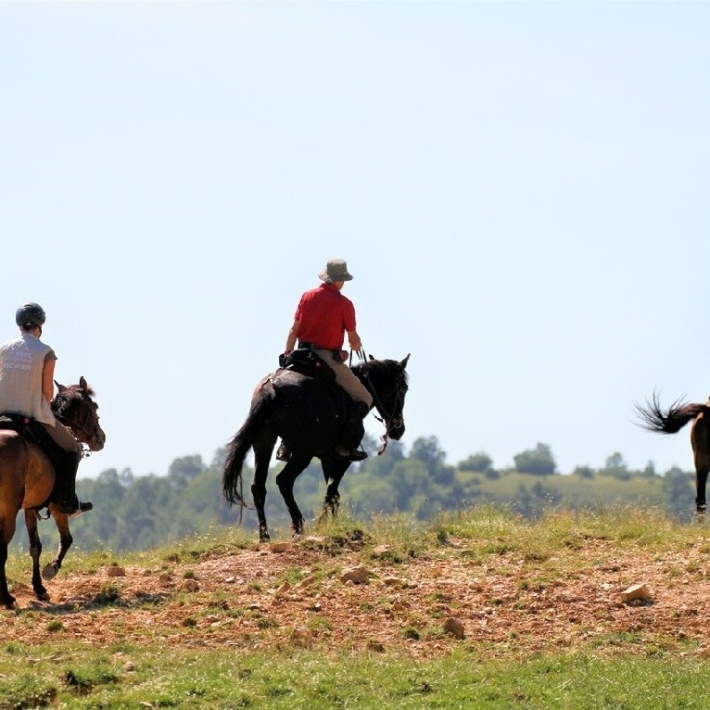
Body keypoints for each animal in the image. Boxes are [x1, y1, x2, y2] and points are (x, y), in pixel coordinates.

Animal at [0, 378, 105, 612]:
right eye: (94, 408)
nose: (101, 438)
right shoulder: (57, 506)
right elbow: (66, 539)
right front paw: (52, 569)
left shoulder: (30, 506)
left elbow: (35, 547)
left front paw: (39, 589)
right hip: (9, 513)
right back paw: (7, 599)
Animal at [222, 354, 412, 544]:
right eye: (403, 389)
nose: (398, 430)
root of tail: (270, 389)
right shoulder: (343, 459)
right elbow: (331, 492)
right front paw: (324, 527)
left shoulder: (327, 458)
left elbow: (333, 494)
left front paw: (333, 525)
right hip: (303, 453)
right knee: (284, 480)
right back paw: (298, 526)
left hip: (264, 443)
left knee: (258, 487)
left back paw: (265, 536)